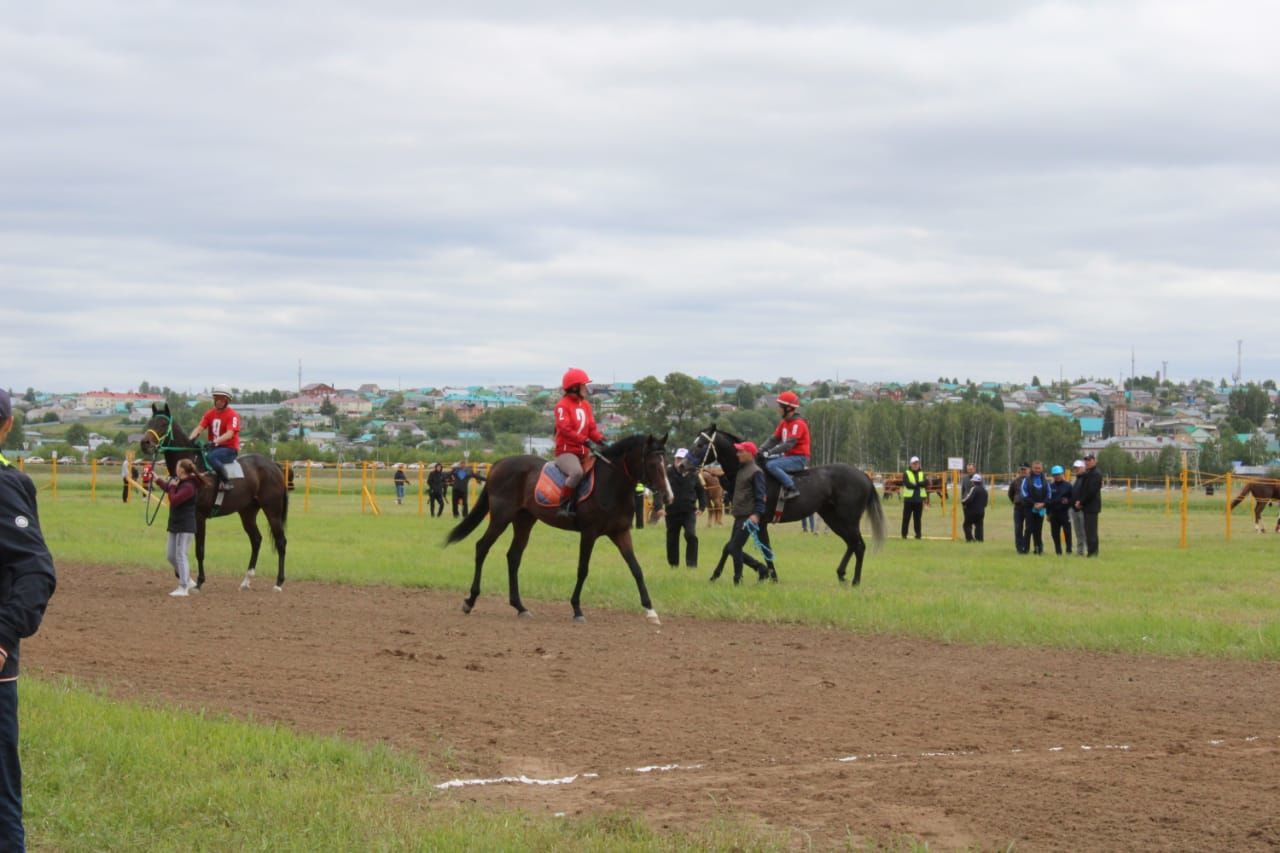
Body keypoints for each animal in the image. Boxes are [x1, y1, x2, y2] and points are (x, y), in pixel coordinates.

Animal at [140, 404, 290, 591]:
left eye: (162, 424)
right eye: (150, 421)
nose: (145, 443)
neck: (193, 467)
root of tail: (274, 465)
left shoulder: (199, 517)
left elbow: (199, 550)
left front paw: (199, 581)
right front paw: (185, 577)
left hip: (272, 511)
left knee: (281, 542)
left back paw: (278, 582)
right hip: (247, 512)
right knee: (256, 540)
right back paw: (246, 580)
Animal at [445, 435, 675, 622]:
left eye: (666, 463)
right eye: (653, 463)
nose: (668, 497)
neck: (611, 483)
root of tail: (499, 463)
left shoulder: (620, 533)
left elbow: (636, 568)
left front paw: (651, 611)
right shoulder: (589, 533)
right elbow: (583, 569)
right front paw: (577, 609)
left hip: (524, 520)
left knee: (513, 556)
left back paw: (520, 607)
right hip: (501, 517)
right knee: (482, 547)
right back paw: (470, 600)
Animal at [686, 425, 885, 584]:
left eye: (700, 445)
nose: (683, 465)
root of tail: (864, 476)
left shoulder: (759, 522)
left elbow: (760, 549)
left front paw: (770, 575)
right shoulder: (745, 520)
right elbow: (732, 546)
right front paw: (718, 574)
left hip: (848, 519)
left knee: (859, 545)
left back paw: (856, 580)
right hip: (833, 518)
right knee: (852, 543)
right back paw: (841, 573)